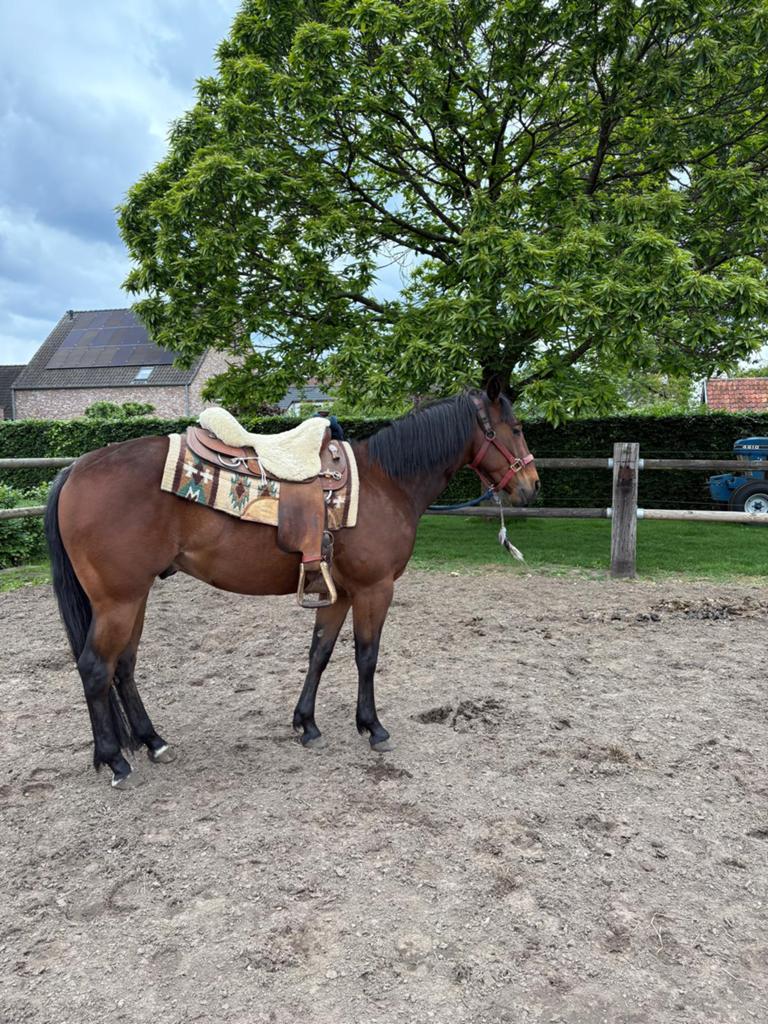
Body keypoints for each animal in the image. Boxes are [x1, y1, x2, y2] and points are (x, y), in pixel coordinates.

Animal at [44, 379, 540, 788]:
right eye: (514, 428)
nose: (532, 486)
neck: (386, 482)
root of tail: (75, 468)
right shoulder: (374, 589)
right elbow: (366, 657)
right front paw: (373, 727)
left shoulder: (338, 592)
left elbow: (320, 653)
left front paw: (307, 725)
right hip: (118, 601)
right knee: (95, 668)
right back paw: (115, 760)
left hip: (136, 597)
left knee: (123, 667)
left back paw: (153, 742)